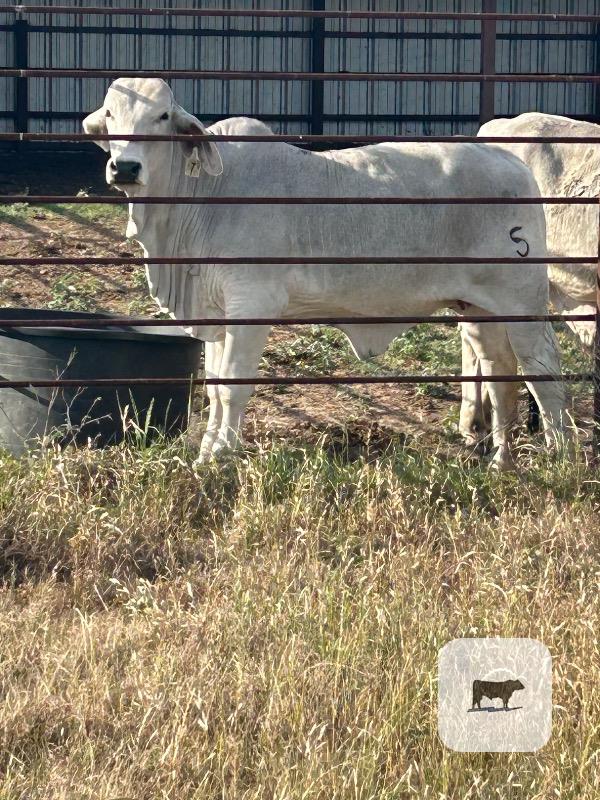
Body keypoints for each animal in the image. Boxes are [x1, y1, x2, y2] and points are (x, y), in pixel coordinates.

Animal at [83, 78, 568, 467]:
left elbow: (233, 387)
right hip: (477, 309)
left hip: (522, 300)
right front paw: (206, 453)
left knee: (542, 370)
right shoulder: (217, 313)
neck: (204, 196)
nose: (125, 167)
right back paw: (502, 461)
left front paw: (221, 458)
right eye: (110, 113)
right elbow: (215, 387)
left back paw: (561, 459)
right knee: (502, 373)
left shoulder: (252, 304)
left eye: (162, 115)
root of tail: (511, 162)